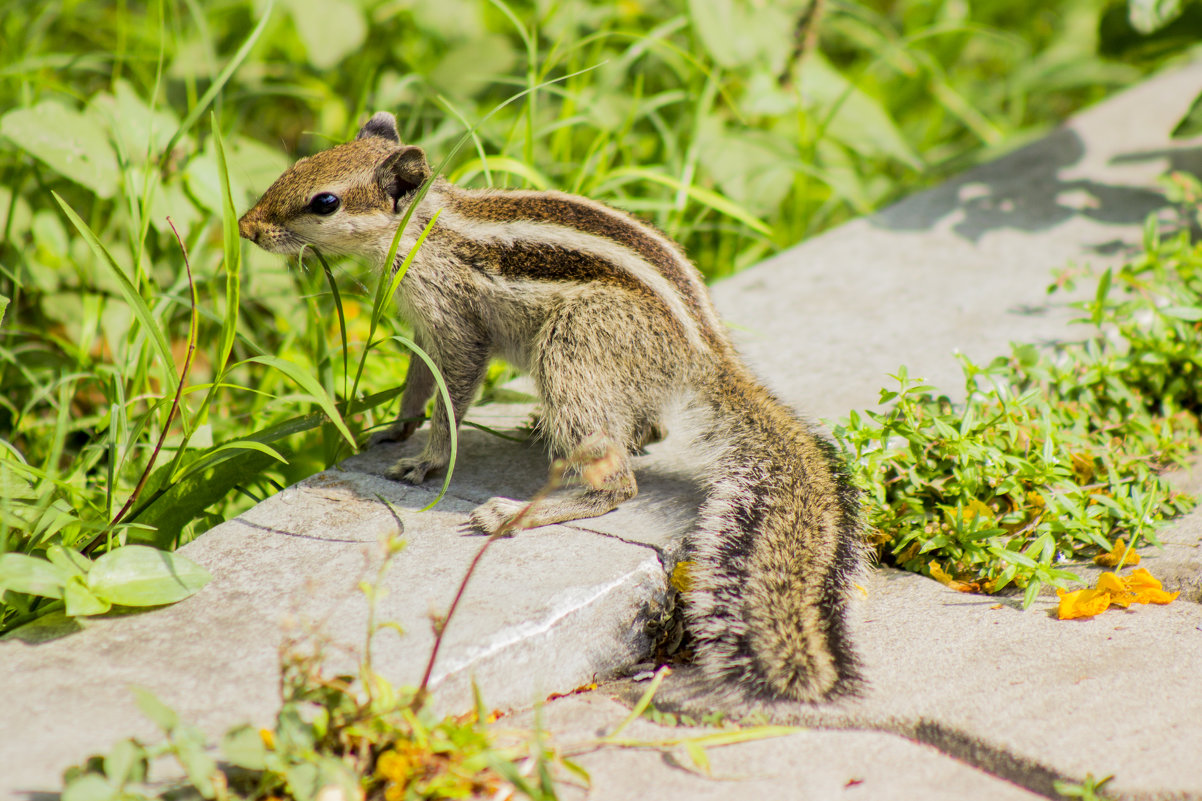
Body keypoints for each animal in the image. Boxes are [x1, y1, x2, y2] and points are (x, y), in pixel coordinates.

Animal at [239, 110, 870, 697]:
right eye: (300, 163)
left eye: (325, 202)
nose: (246, 227)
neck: (425, 227)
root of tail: (707, 350)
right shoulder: (422, 326)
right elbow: (419, 382)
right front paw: (396, 428)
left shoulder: (452, 323)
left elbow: (452, 392)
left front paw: (428, 459)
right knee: (643, 432)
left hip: (572, 349)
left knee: (616, 485)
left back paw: (515, 514)